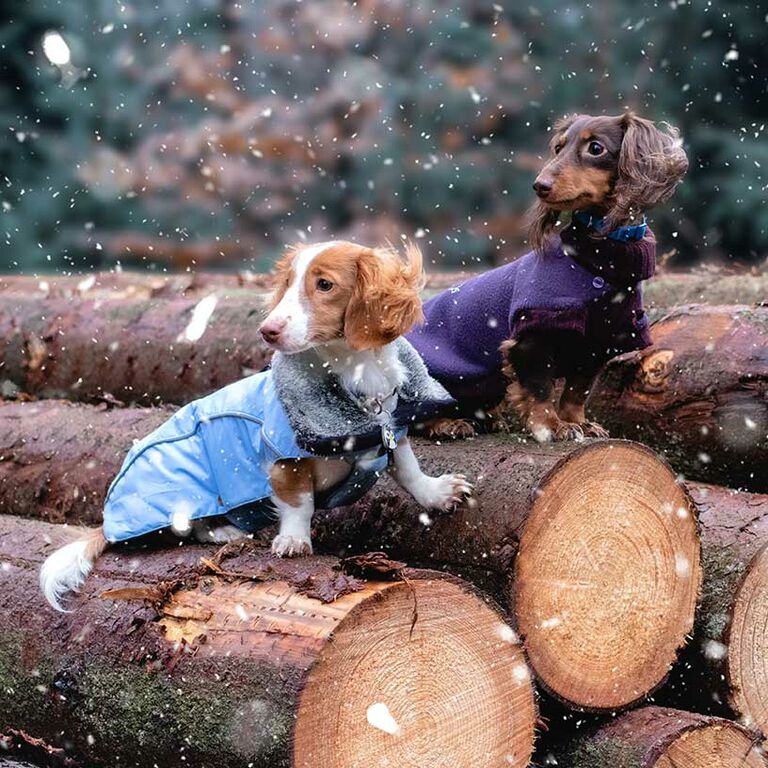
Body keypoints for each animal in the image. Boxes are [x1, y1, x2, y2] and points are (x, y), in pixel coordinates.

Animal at [40, 240, 474, 612]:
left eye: (325, 285)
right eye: (287, 285)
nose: (268, 330)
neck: (352, 379)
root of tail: (107, 523)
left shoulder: (390, 430)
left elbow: (409, 469)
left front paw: (437, 494)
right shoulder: (284, 459)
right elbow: (299, 502)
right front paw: (293, 540)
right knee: (189, 529)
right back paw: (228, 533)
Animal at [412, 111, 688, 440]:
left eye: (596, 148)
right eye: (558, 147)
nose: (539, 186)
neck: (599, 257)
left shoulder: (600, 341)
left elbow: (577, 390)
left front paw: (579, 422)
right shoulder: (532, 336)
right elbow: (540, 389)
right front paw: (552, 427)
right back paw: (448, 424)